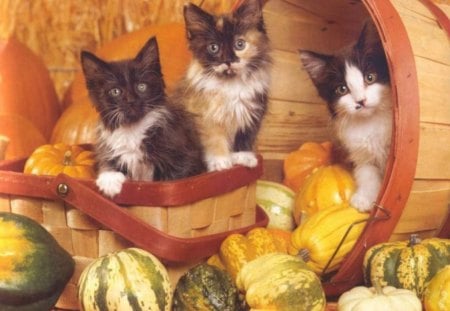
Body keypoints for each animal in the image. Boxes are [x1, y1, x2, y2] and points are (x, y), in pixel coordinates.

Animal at [81, 36, 206, 197]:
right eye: (115, 91)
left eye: (141, 87)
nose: (131, 101)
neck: (132, 130)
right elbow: (106, 162)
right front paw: (109, 179)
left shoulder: (182, 156)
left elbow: (174, 178)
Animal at [172, 0, 270, 173]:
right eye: (214, 48)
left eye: (240, 44)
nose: (228, 60)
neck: (232, 85)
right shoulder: (204, 115)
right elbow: (214, 138)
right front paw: (220, 162)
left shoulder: (252, 114)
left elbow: (244, 137)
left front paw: (243, 157)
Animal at [300, 21, 392, 212]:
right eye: (342, 89)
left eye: (370, 78)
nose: (361, 101)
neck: (370, 121)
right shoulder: (361, 154)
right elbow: (367, 173)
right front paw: (364, 198)